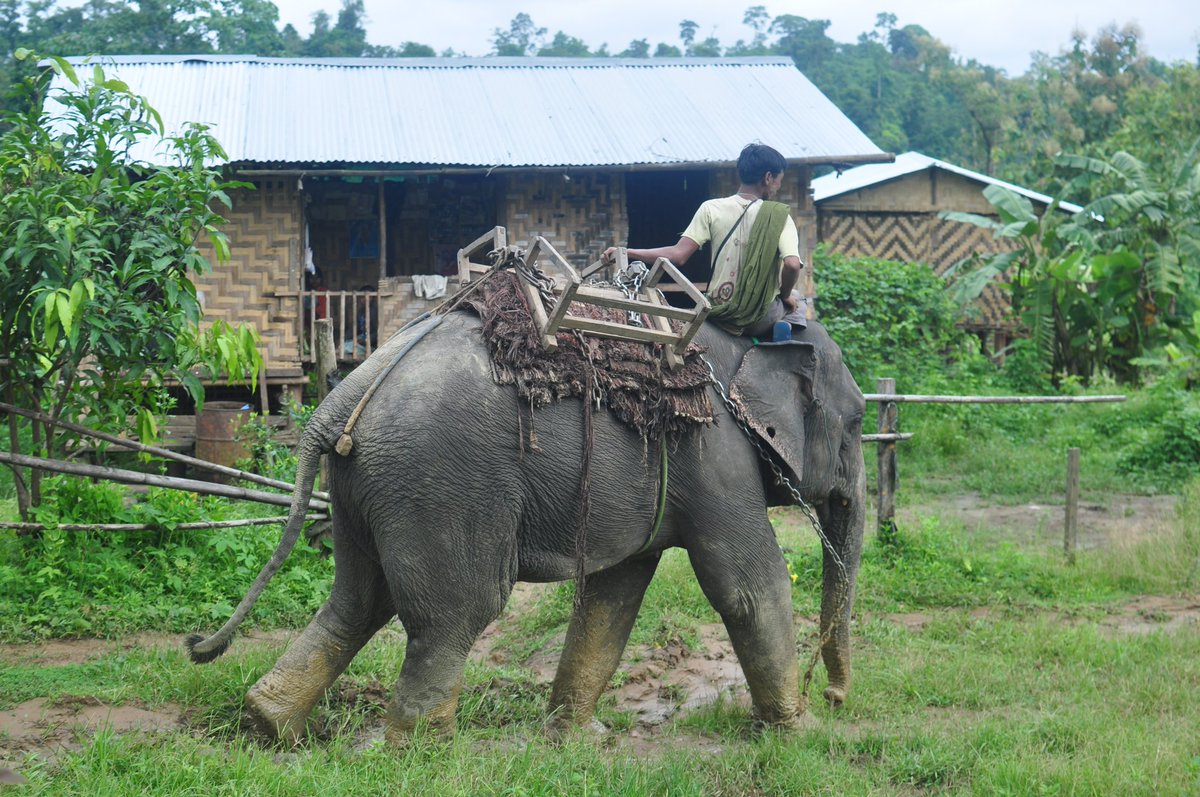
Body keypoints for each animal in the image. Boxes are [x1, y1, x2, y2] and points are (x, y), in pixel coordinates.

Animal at [184, 307, 864, 744]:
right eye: (858, 421)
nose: (835, 698)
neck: (754, 344)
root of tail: (340, 399)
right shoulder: (717, 456)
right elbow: (748, 586)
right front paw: (802, 736)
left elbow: (615, 594)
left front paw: (579, 738)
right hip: (441, 483)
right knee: (457, 611)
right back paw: (422, 750)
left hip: (362, 487)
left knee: (356, 601)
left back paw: (267, 723)